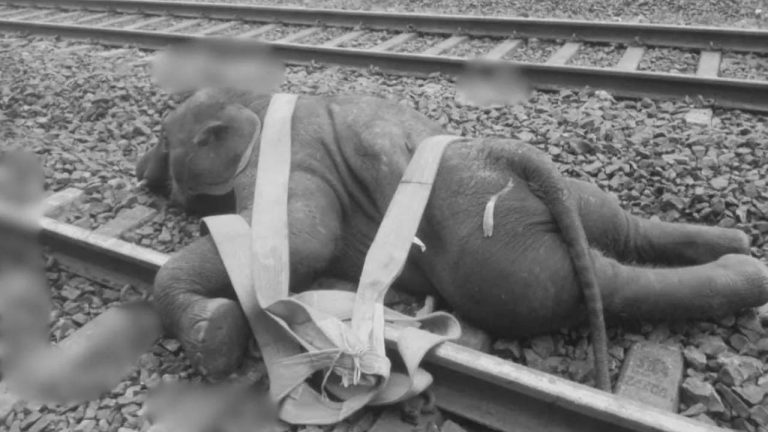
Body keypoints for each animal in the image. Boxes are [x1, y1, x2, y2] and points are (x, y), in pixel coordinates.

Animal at [137, 88, 768, 382]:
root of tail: (515, 159)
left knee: (586, 286)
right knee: (610, 225)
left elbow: (304, 238)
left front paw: (212, 337)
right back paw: (736, 250)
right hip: (549, 208)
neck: (262, 101)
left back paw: (744, 272)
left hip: (491, 244)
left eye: (166, 138)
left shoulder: (289, 158)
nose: (142, 171)